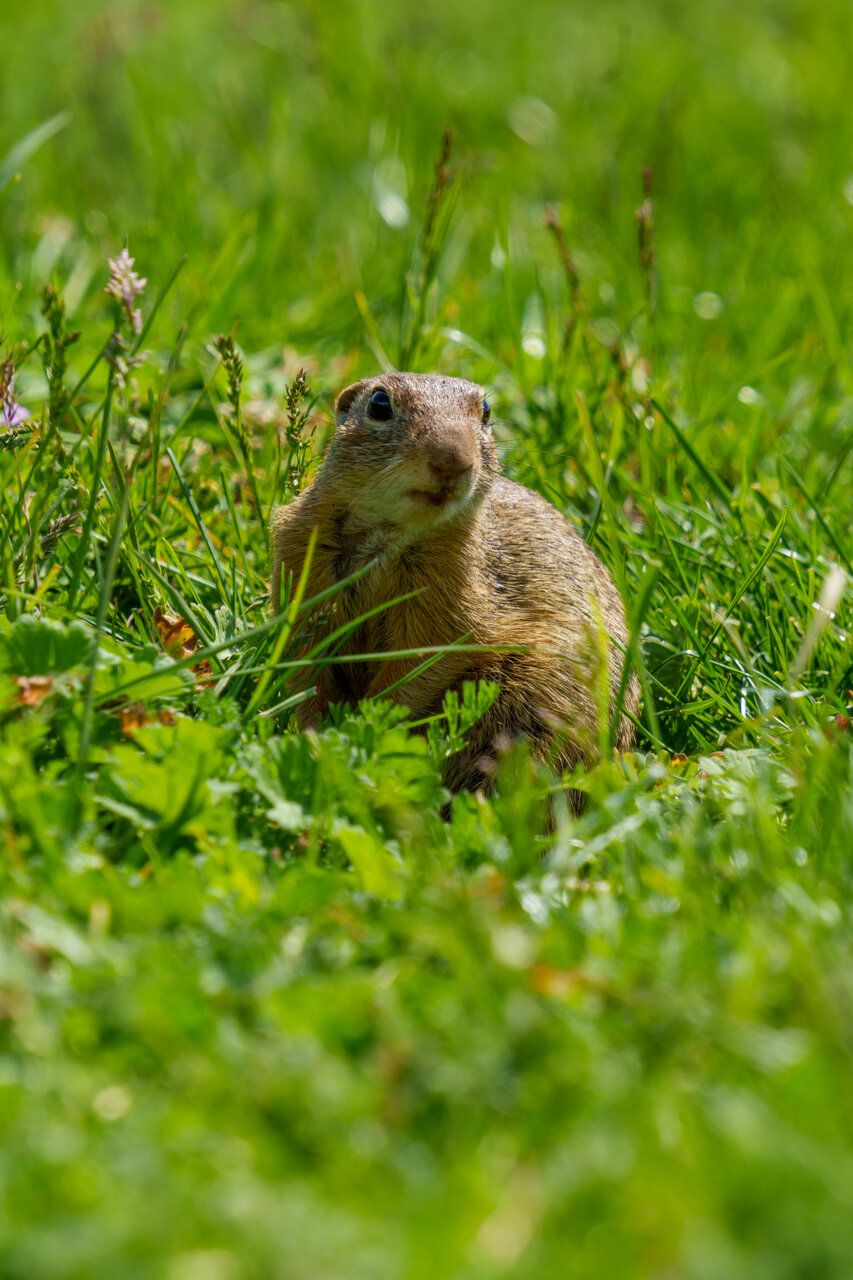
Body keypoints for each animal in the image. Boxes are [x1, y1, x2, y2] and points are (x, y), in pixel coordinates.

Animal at [270, 372, 639, 801]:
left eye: (487, 412)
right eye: (379, 405)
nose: (452, 460)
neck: (389, 532)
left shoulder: (448, 602)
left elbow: (417, 670)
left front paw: (366, 726)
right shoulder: (301, 563)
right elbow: (306, 667)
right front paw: (315, 736)